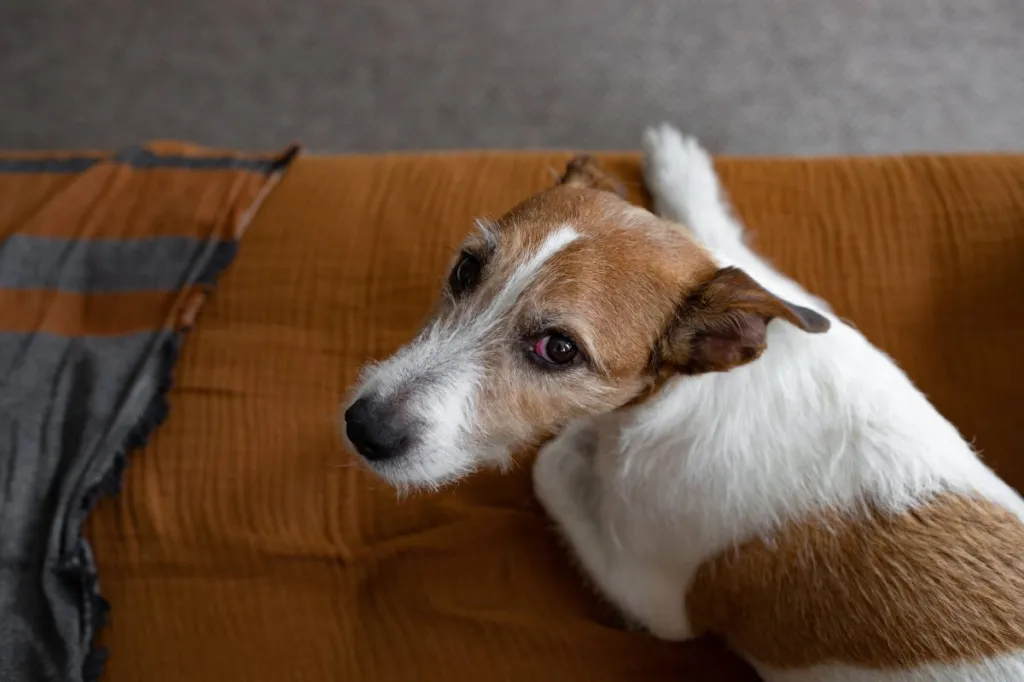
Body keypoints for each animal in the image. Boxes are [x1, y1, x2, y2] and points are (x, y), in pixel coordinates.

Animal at [344, 124, 1024, 675]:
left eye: (558, 349)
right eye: (465, 269)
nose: (363, 427)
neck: (696, 390)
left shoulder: (654, 595)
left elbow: (553, 464)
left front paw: (579, 445)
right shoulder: (805, 309)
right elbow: (725, 256)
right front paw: (678, 165)